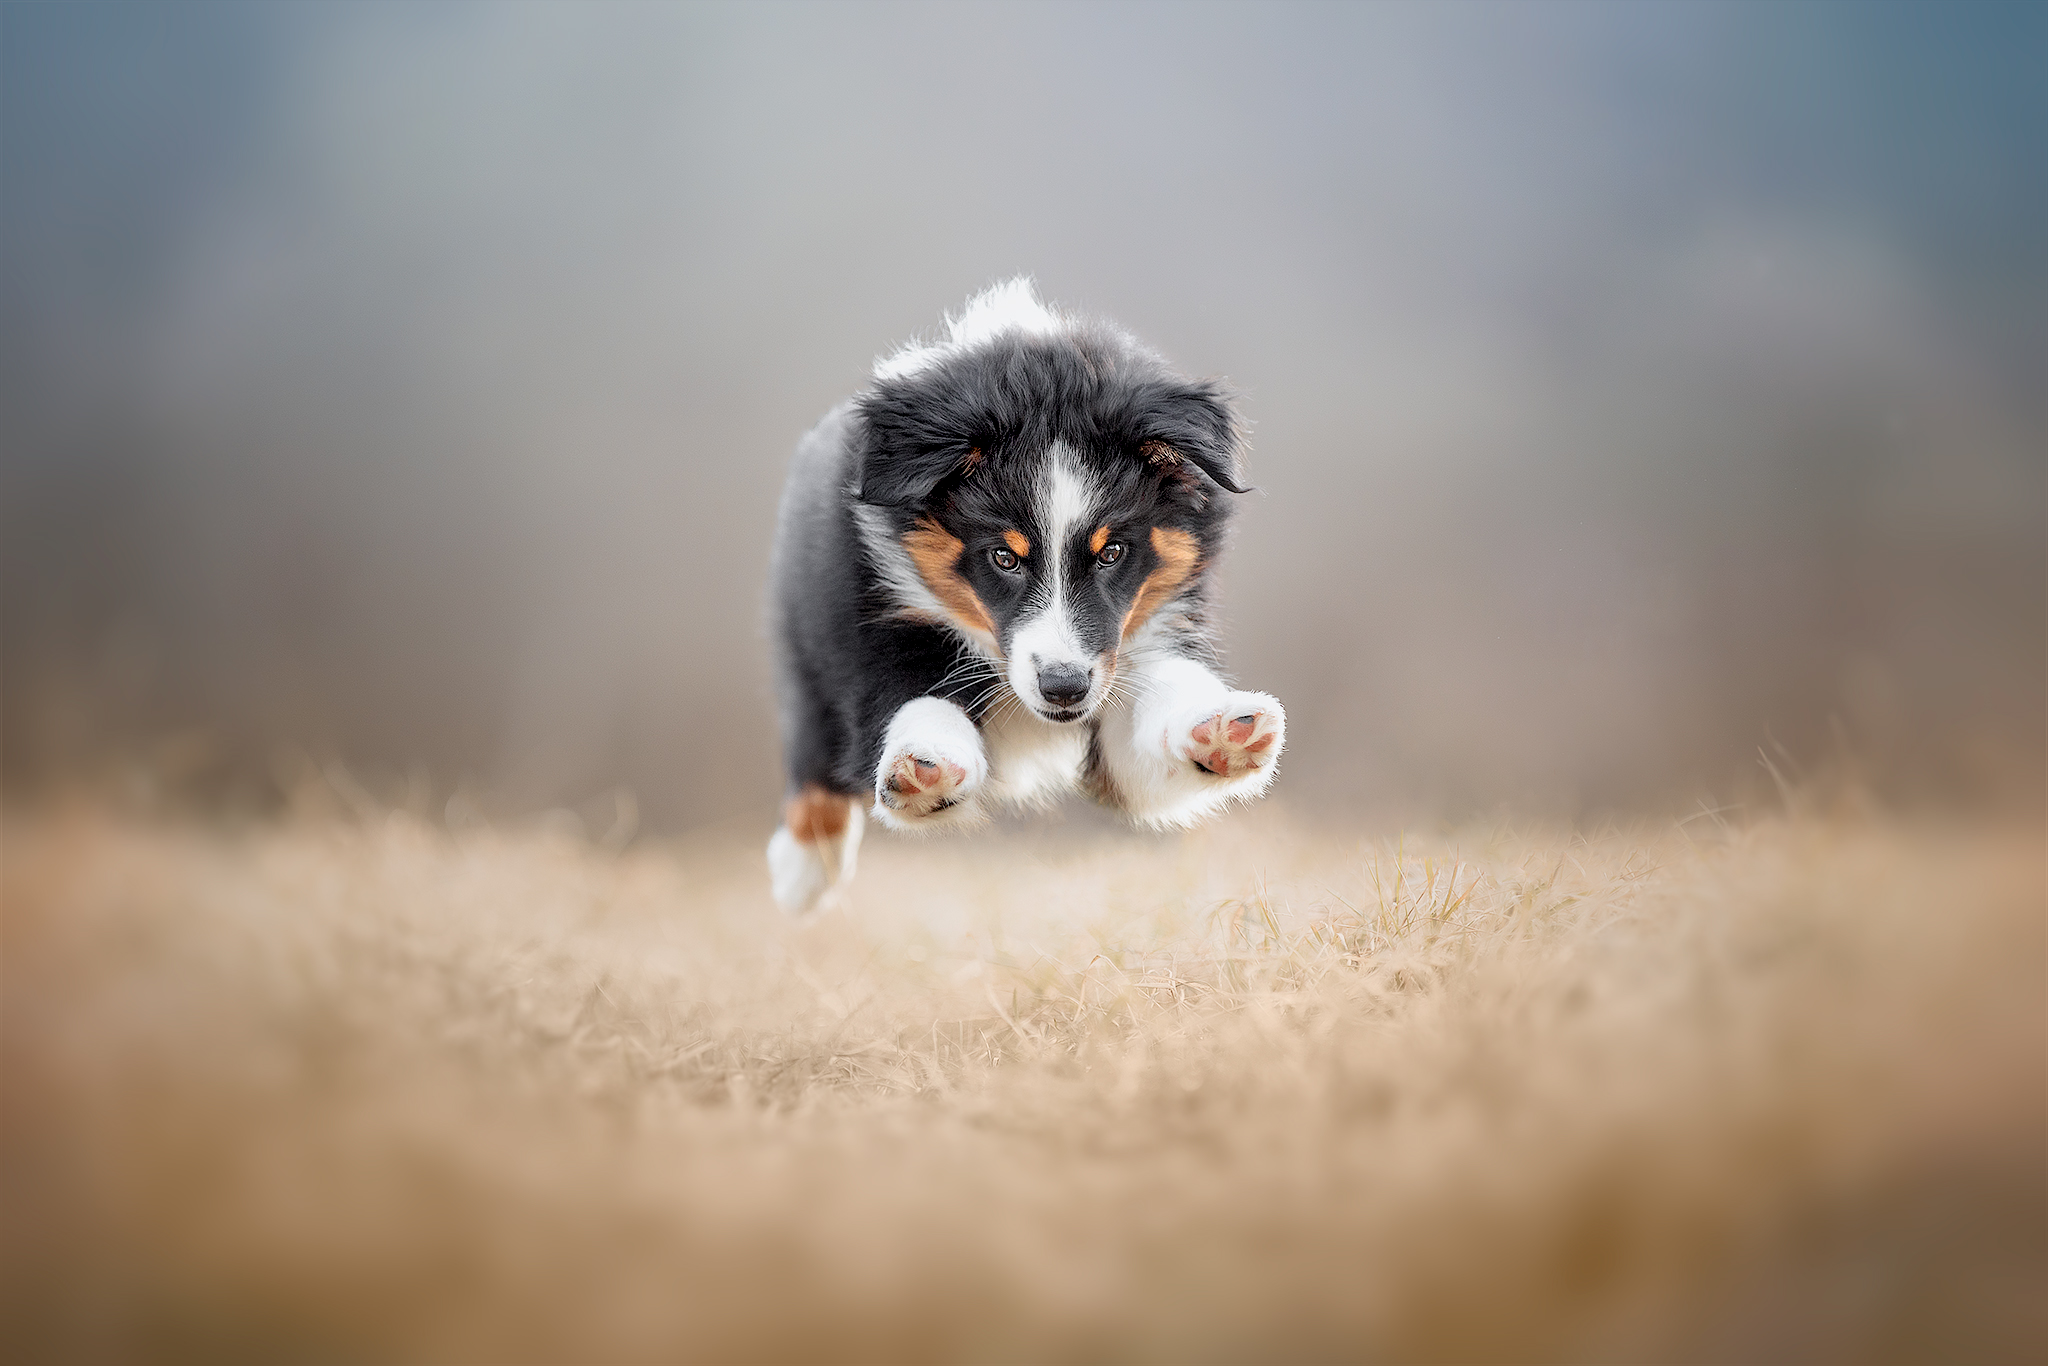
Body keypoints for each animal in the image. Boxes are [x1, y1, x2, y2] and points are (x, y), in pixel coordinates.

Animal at [770, 282, 1277, 913]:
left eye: (1112, 552)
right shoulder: (876, 624)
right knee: (814, 762)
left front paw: (1222, 729)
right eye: (1004, 558)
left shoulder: (1139, 642)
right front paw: (925, 766)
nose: (1064, 688)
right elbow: (908, 703)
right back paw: (802, 873)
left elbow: (1155, 717)